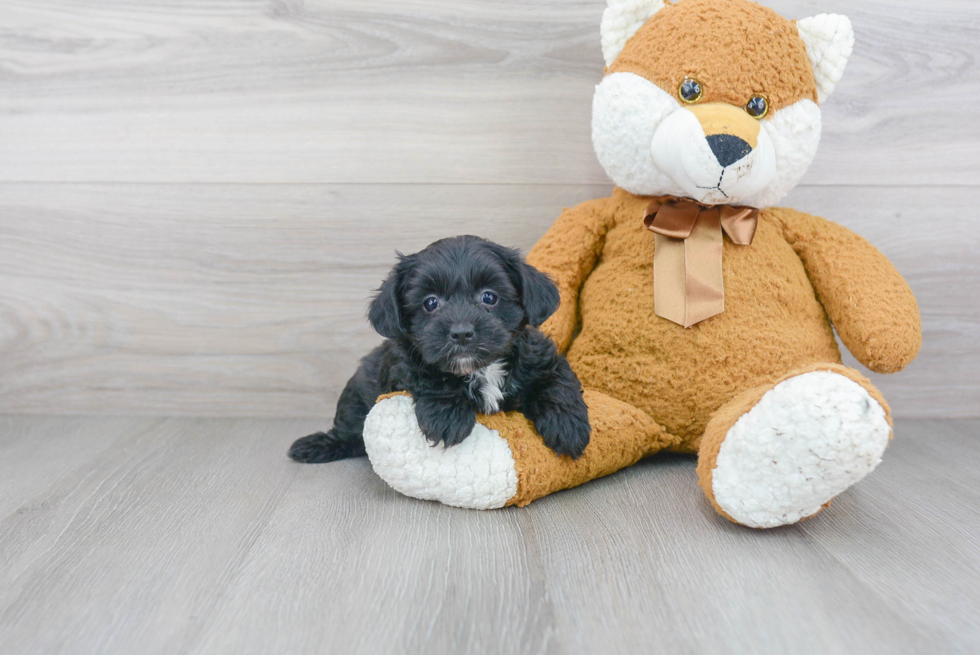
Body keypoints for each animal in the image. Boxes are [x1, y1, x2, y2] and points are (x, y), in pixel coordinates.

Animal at [286, 236, 588, 462]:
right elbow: (431, 378)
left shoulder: (540, 358)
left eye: (489, 297)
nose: (461, 332)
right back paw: (317, 445)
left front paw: (568, 425)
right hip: (354, 396)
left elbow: (557, 382)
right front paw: (448, 416)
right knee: (348, 432)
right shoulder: (404, 364)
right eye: (430, 303)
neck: (481, 370)